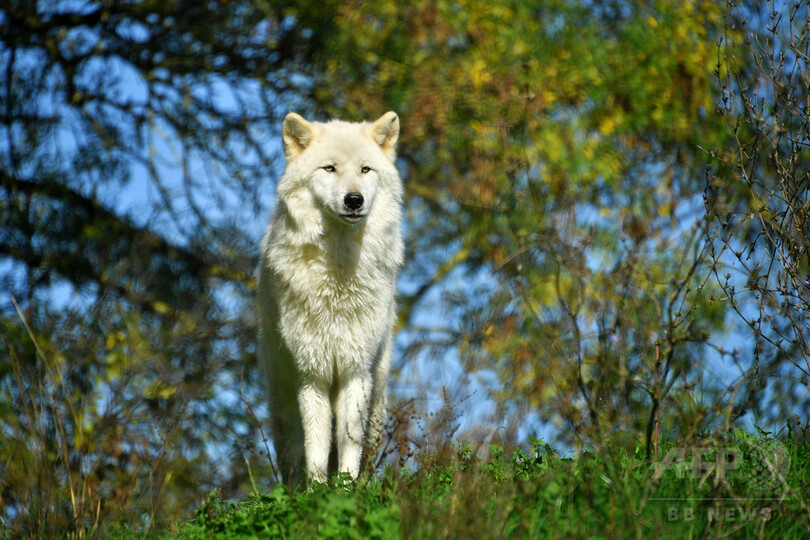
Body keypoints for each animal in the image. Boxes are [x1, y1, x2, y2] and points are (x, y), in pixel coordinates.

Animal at [258, 109, 402, 486]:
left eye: (365, 170)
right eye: (329, 168)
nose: (354, 200)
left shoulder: (355, 370)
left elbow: (349, 440)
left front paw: (347, 489)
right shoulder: (313, 373)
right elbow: (317, 444)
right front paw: (317, 490)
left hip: (377, 394)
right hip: (283, 398)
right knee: (292, 449)